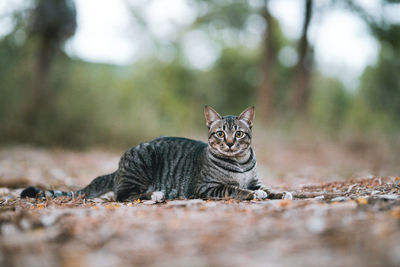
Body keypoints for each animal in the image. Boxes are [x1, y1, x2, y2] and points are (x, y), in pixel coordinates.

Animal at [21, 105, 272, 202]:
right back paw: (156, 195)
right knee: (124, 195)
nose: (229, 144)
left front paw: (275, 192)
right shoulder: (205, 188)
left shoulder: (255, 180)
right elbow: (234, 189)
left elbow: (265, 188)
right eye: (220, 134)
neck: (240, 162)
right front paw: (252, 195)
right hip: (141, 166)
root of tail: (118, 168)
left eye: (238, 133)